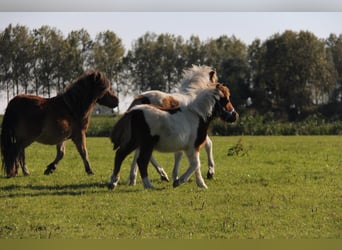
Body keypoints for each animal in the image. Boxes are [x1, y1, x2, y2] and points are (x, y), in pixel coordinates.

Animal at [109, 83, 238, 189]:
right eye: (226, 100)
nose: (235, 116)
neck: (197, 116)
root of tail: (132, 111)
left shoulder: (191, 148)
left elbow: (195, 165)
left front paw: (201, 184)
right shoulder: (192, 146)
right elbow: (196, 164)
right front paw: (179, 181)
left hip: (134, 141)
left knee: (120, 154)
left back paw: (114, 182)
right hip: (146, 144)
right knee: (141, 160)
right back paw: (148, 185)